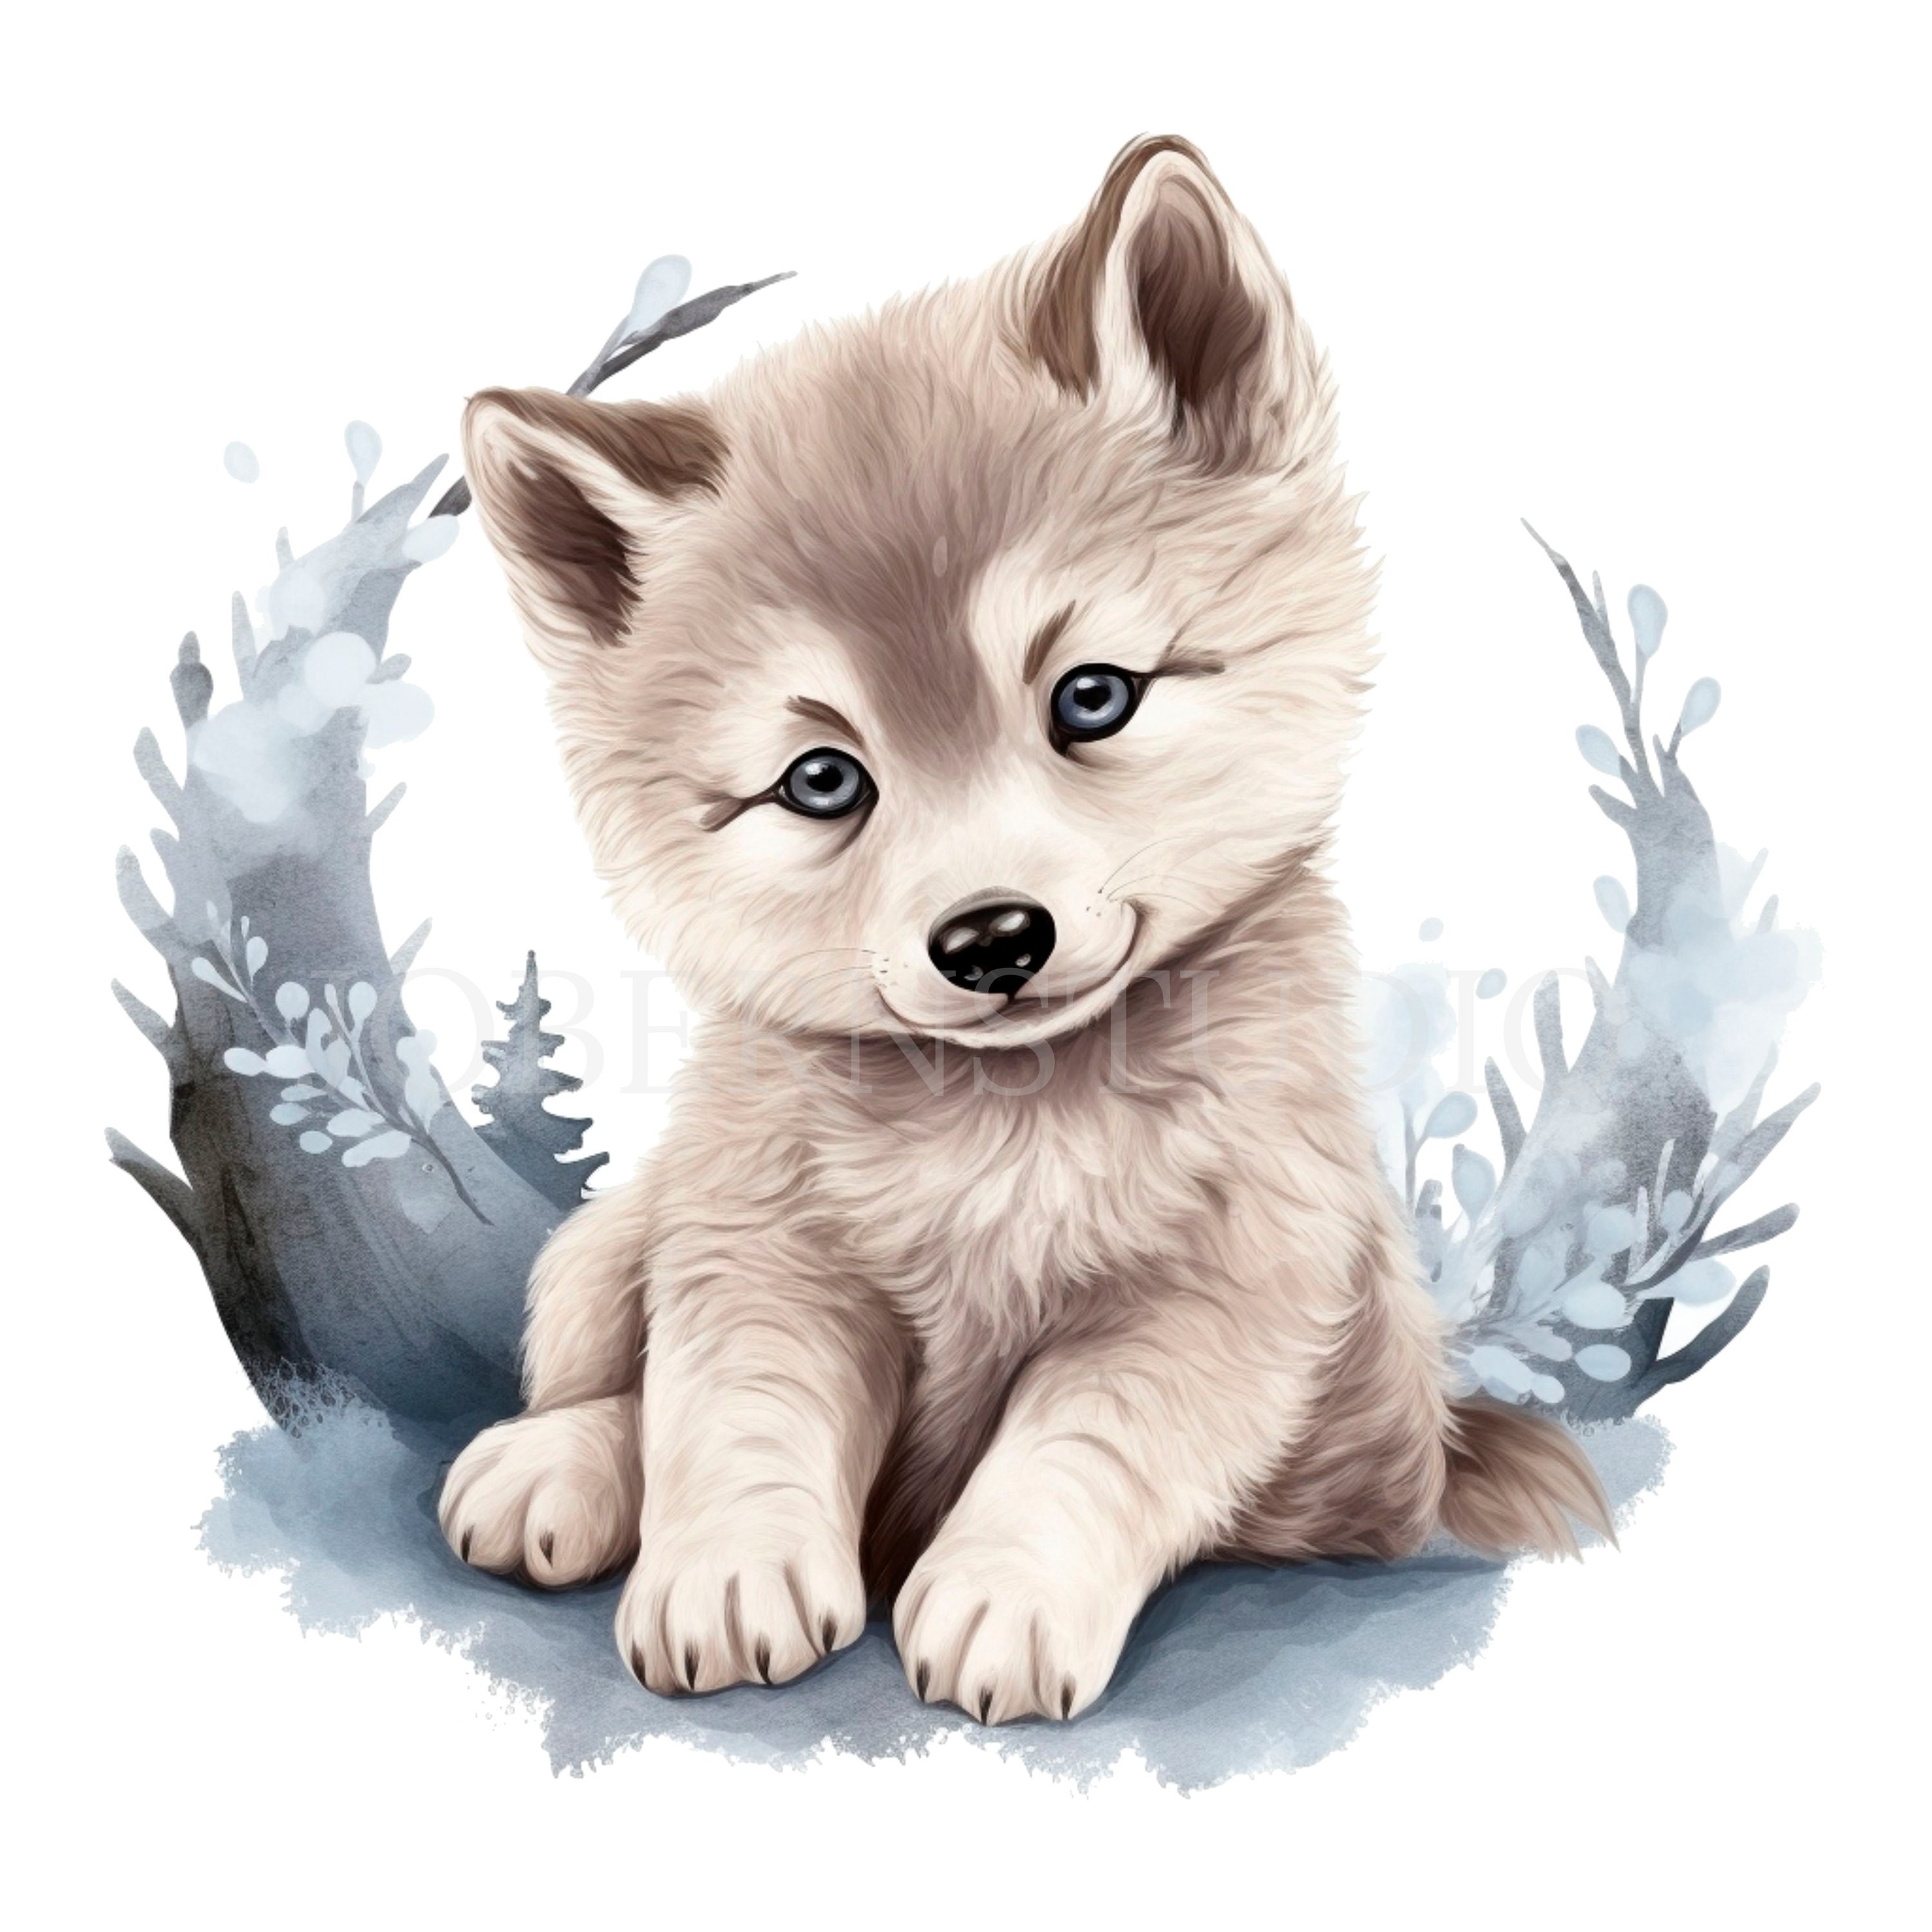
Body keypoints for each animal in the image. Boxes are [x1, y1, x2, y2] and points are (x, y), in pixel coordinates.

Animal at [438, 135, 1611, 1724]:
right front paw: (731, 1568)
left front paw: (1007, 1596)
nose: (993, 938)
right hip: (608, 1247)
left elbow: (1085, 1445)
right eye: (823, 780)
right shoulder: (760, 1247)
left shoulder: (1227, 1282)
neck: (997, 1134)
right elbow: (734, 1408)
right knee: (616, 1368)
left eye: (1093, 696)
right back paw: (556, 1462)